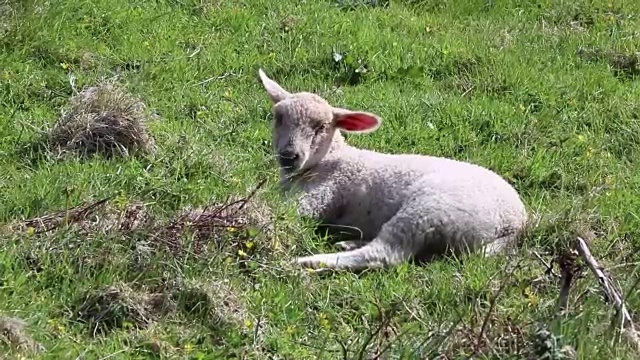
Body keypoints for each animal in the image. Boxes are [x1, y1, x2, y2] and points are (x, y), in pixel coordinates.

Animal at [258, 67, 528, 272]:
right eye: (278, 118)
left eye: (321, 127)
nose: (289, 156)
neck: (332, 157)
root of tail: (515, 224)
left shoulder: (321, 194)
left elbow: (282, 210)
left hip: (430, 210)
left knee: (386, 254)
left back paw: (309, 263)